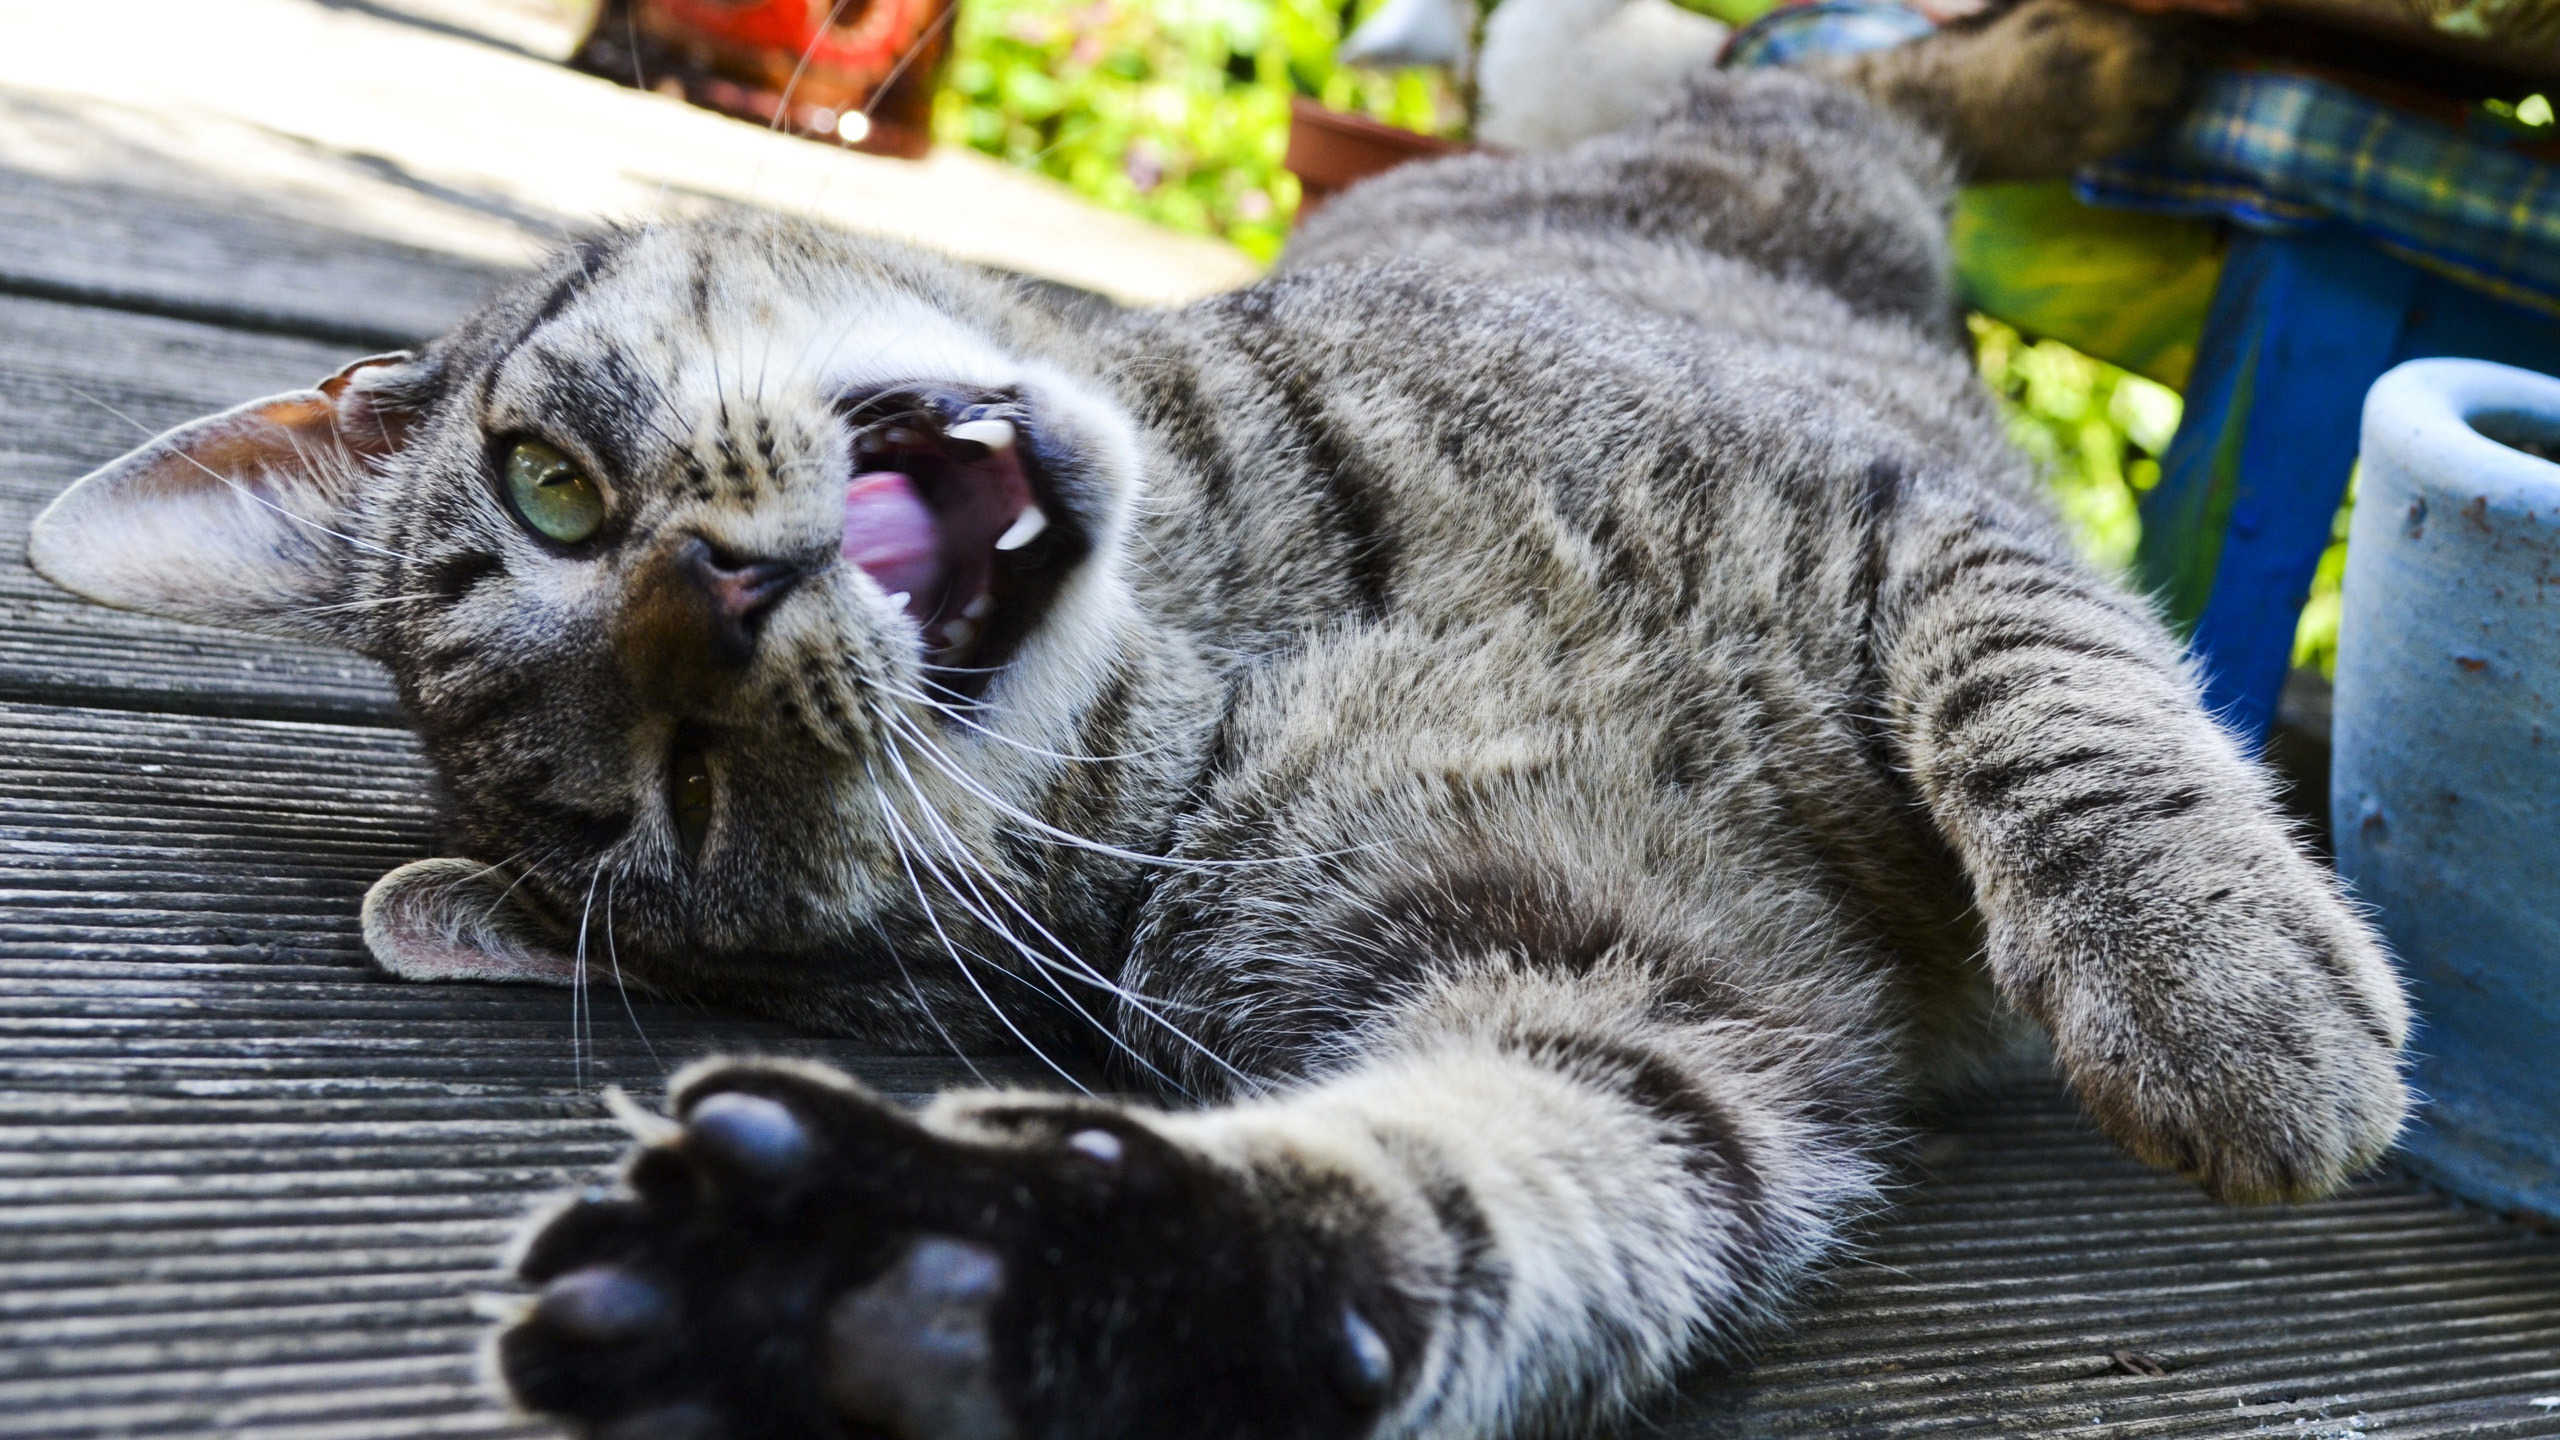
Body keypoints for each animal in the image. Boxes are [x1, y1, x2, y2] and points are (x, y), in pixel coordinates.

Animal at [30, 5, 2406, 1424]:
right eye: (662, 801)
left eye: (549, 489)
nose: (712, 597)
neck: (1262, 632)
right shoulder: (1657, 1007)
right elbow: (1472, 1187)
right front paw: (913, 1287)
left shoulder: (1878, 518)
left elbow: (2059, 703)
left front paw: (2226, 1001)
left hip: (1801, 177)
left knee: (1919, 70)